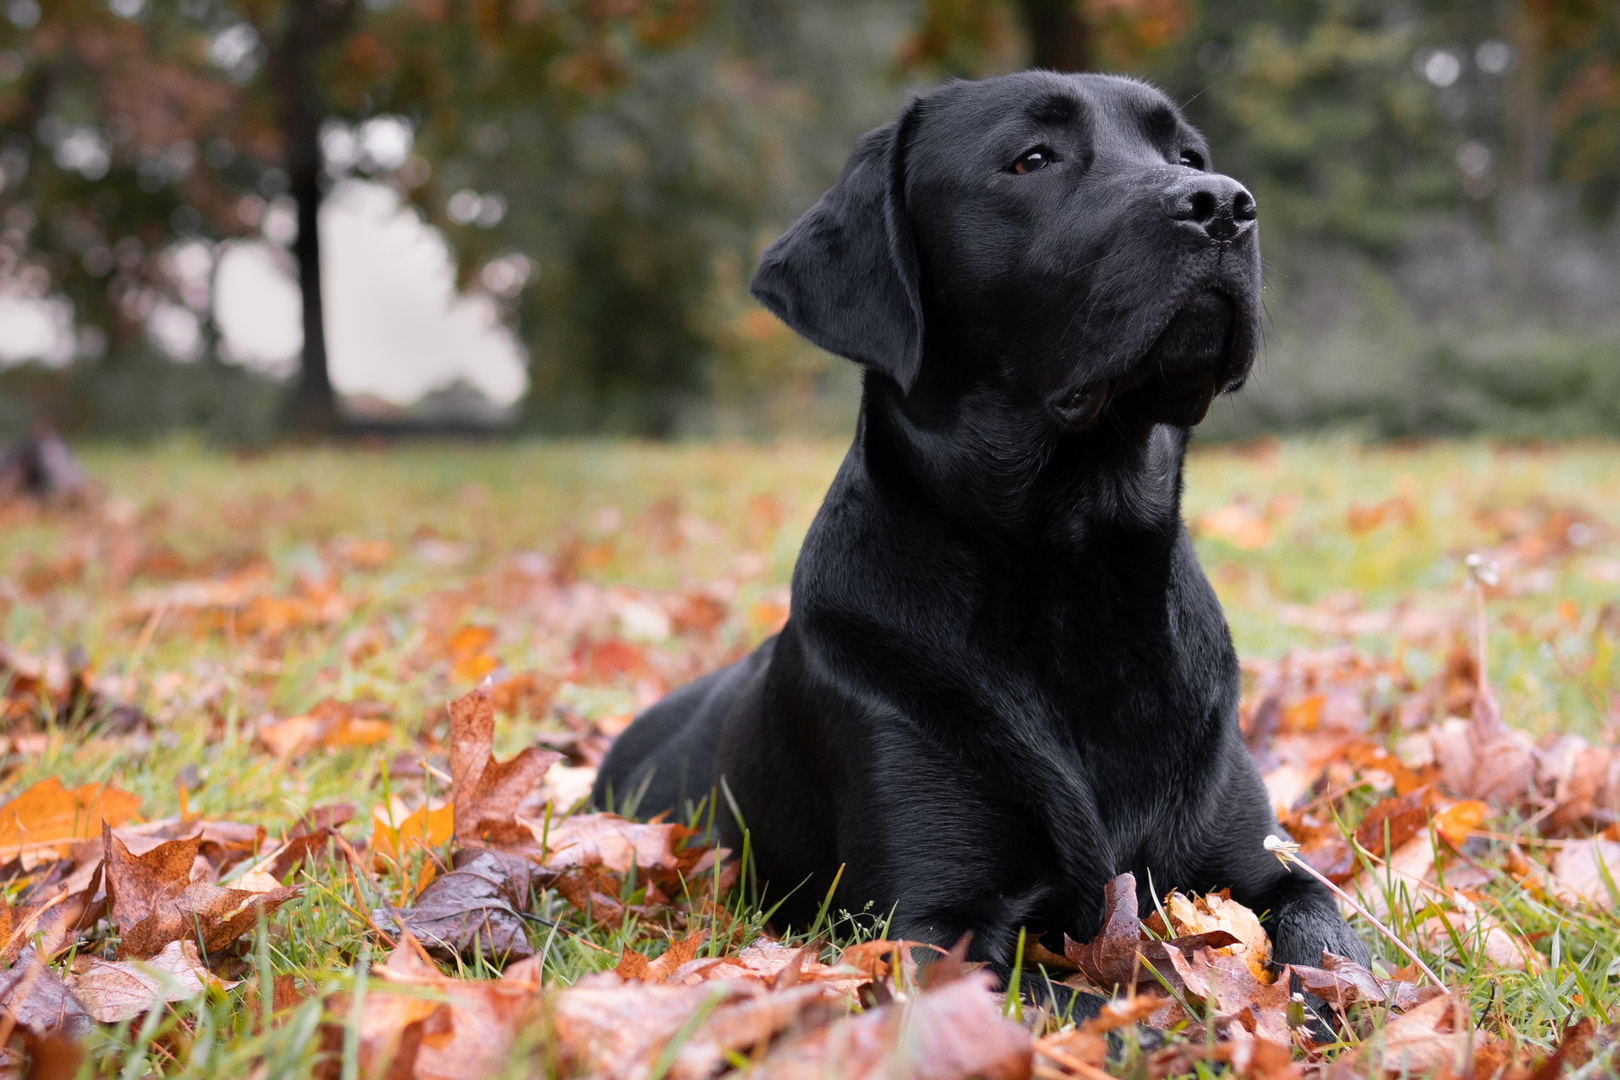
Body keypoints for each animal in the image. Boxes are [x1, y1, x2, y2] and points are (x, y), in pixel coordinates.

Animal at [596, 71, 1367, 990]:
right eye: (1031, 159)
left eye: (1186, 156)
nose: (1223, 204)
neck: (1076, 565)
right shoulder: (930, 926)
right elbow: (1076, 1004)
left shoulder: (1262, 865)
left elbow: (1327, 939)